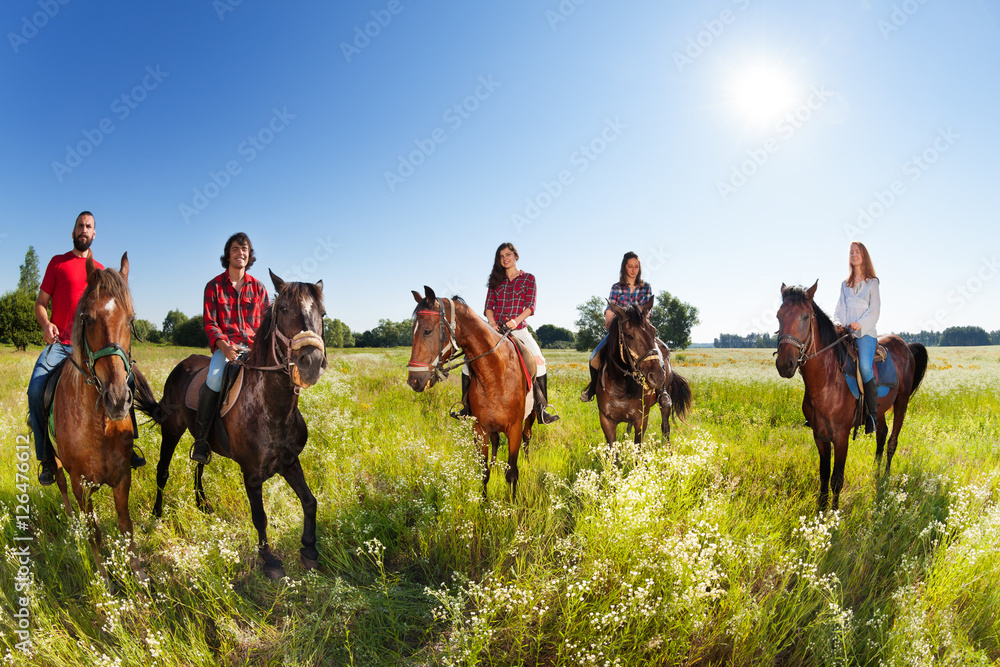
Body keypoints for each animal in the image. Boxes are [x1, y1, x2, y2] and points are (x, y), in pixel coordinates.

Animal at [49, 256, 149, 584]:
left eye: (130, 320)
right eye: (89, 319)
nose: (118, 399)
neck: (99, 424)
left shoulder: (122, 476)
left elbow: (125, 525)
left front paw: (137, 574)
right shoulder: (81, 485)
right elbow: (94, 532)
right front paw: (105, 579)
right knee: (59, 484)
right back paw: (72, 526)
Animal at [133, 272, 326, 580]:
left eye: (322, 313)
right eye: (284, 309)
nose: (312, 362)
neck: (273, 407)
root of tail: (182, 366)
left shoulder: (290, 462)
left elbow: (310, 501)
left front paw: (309, 549)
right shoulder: (252, 474)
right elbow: (260, 516)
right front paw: (268, 559)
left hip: (202, 440)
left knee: (199, 465)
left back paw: (202, 505)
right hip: (171, 430)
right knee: (162, 472)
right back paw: (156, 516)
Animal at [406, 284, 536, 498]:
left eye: (427, 331)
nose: (414, 381)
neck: (495, 376)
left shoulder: (514, 429)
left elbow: (512, 473)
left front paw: (512, 503)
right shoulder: (480, 428)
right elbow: (484, 472)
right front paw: (484, 502)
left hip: (530, 418)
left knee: (528, 437)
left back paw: (527, 461)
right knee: (495, 441)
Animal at [592, 302, 696, 448]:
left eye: (654, 331)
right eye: (629, 335)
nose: (657, 376)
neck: (620, 386)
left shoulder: (641, 420)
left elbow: (638, 447)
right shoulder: (606, 420)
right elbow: (613, 450)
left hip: (665, 402)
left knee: (665, 427)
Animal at [772, 282, 928, 512]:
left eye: (805, 316)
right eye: (778, 315)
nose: (785, 364)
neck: (826, 381)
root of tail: (905, 346)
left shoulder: (841, 436)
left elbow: (837, 478)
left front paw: (833, 514)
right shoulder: (819, 435)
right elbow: (824, 474)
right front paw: (821, 509)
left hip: (901, 403)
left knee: (892, 441)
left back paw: (885, 479)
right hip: (879, 410)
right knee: (882, 434)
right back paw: (875, 473)